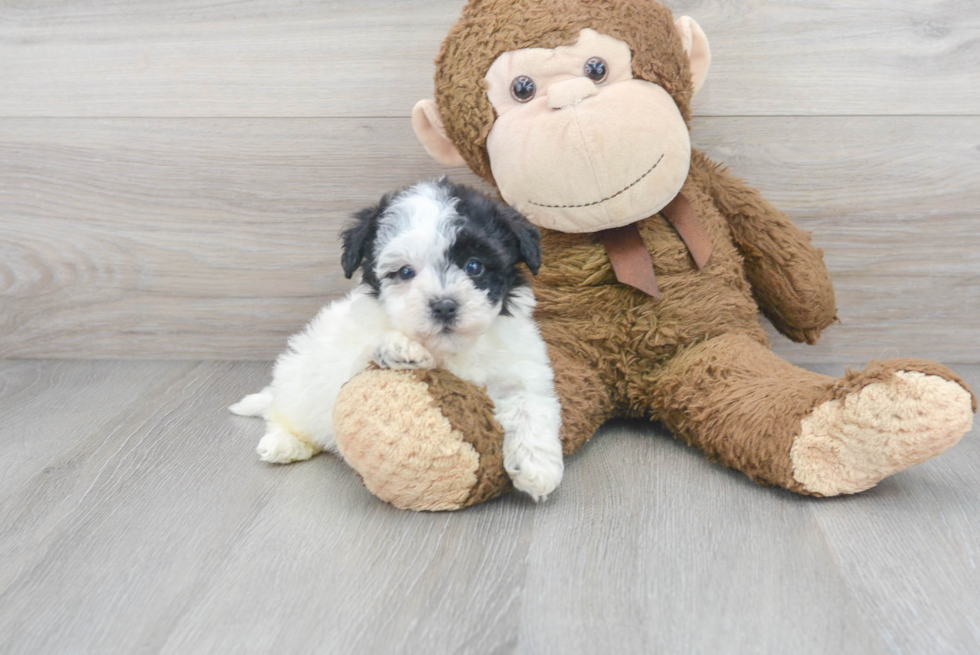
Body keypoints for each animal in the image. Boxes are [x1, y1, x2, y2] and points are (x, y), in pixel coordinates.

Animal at [232, 179, 568, 502]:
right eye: (405, 272)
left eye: (474, 266)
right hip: (300, 382)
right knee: (283, 413)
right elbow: (366, 355)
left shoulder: (520, 367)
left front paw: (536, 467)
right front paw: (399, 346)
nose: (444, 305)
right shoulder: (350, 361)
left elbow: (531, 407)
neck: (449, 350)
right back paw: (283, 443)